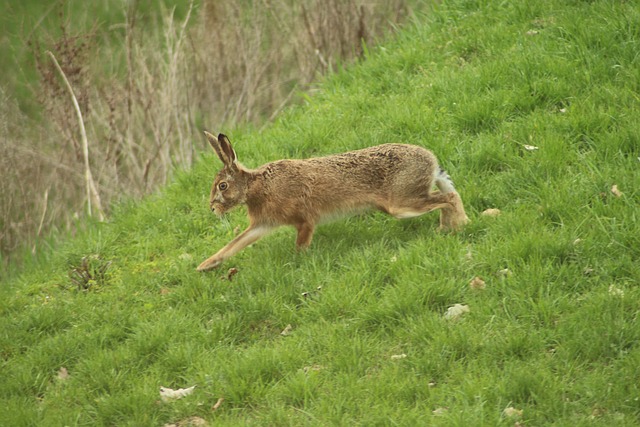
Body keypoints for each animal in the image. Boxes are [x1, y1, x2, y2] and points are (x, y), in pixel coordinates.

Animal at [197, 131, 469, 271]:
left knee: (448, 197)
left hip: (402, 204)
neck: (255, 186)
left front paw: (298, 263)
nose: (212, 208)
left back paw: (458, 225)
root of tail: (432, 162)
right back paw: (448, 227)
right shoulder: (263, 224)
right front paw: (205, 265)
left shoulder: (305, 221)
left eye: (222, 186)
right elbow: (235, 244)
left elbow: (301, 243)